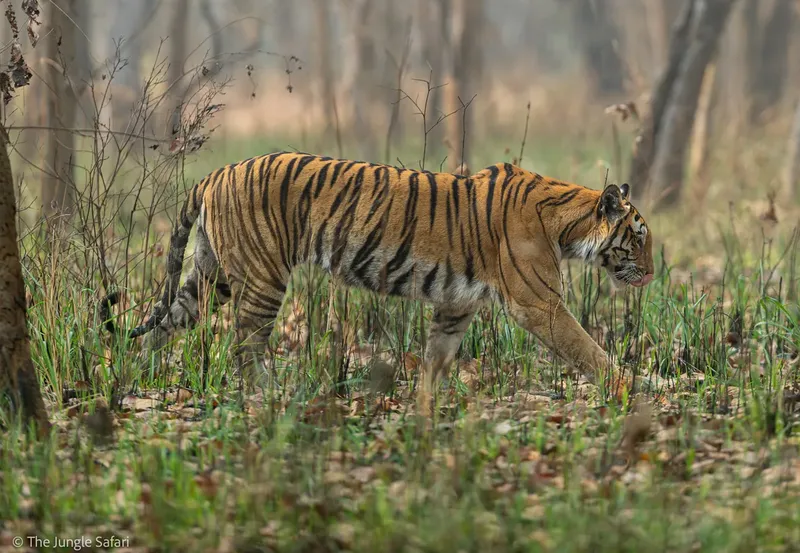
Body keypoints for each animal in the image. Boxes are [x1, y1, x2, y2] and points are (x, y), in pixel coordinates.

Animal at [101, 151, 655, 411]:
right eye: (638, 236)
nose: (651, 275)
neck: (568, 225)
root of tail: (216, 172)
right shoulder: (539, 304)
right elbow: (588, 349)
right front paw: (634, 392)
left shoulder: (456, 305)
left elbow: (436, 359)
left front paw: (425, 409)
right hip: (262, 278)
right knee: (245, 344)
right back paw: (269, 395)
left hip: (208, 278)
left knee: (160, 327)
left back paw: (133, 382)